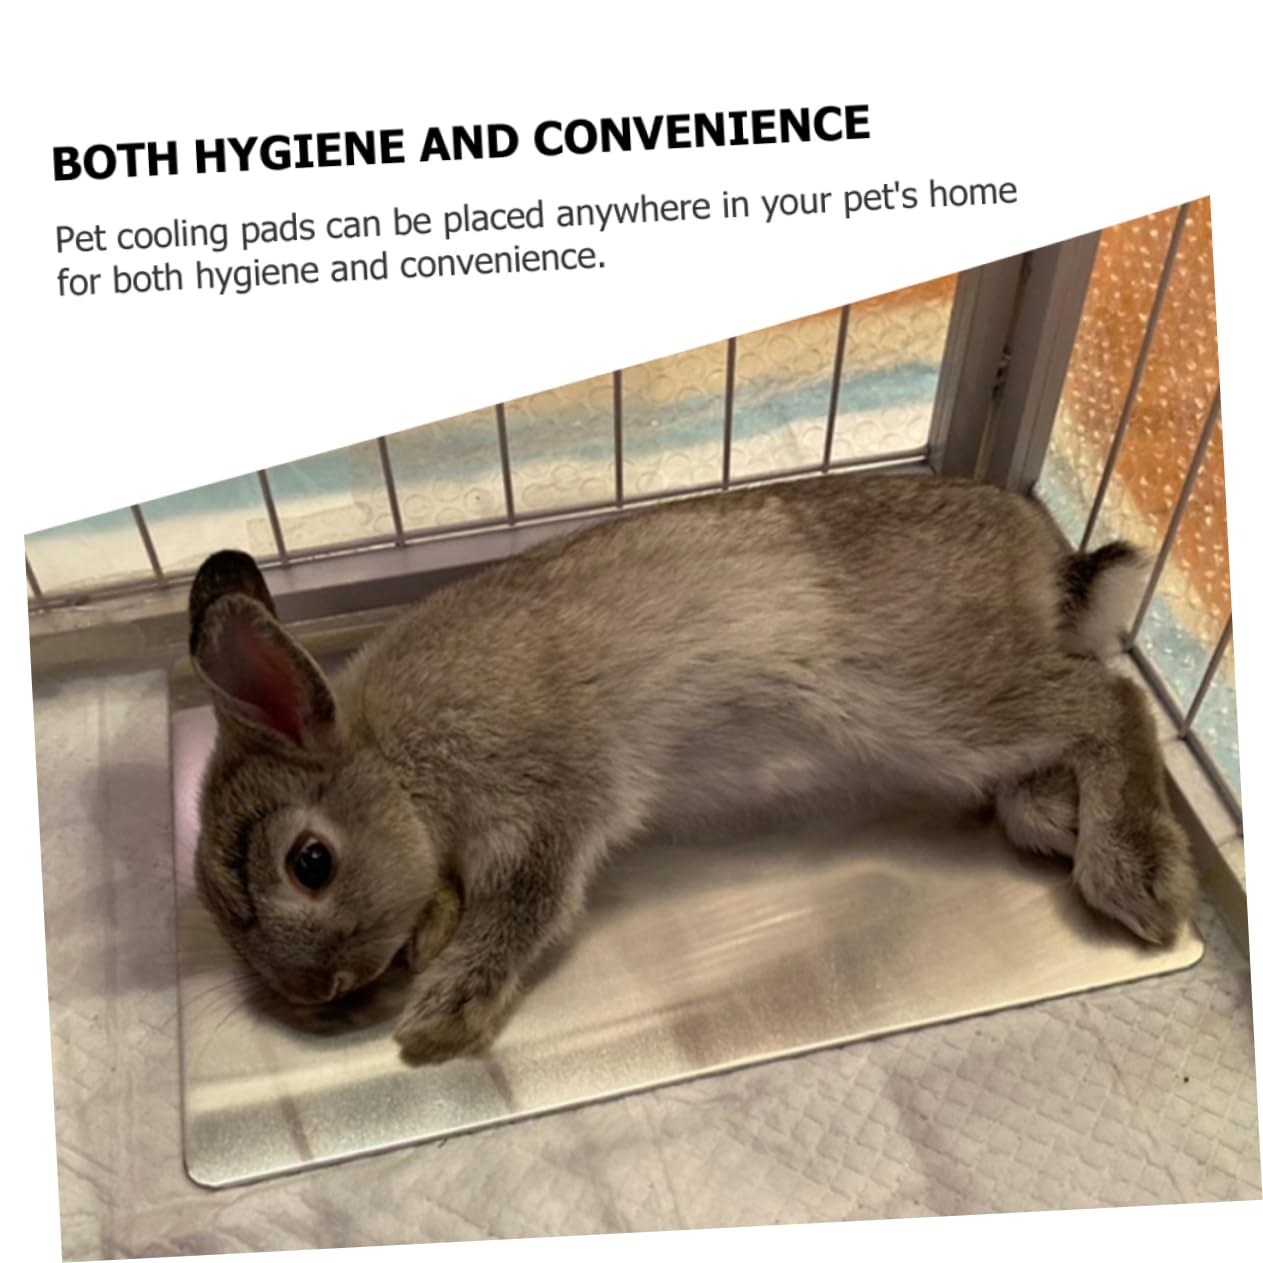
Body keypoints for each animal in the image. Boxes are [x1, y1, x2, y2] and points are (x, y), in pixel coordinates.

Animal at [188, 473, 1198, 1064]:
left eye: (310, 862)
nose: (315, 998)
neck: (392, 758)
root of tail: (1040, 556)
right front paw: (430, 938)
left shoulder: (543, 801)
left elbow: (525, 907)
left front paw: (440, 1013)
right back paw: (1056, 816)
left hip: (928, 696)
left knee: (1108, 700)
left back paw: (1136, 872)